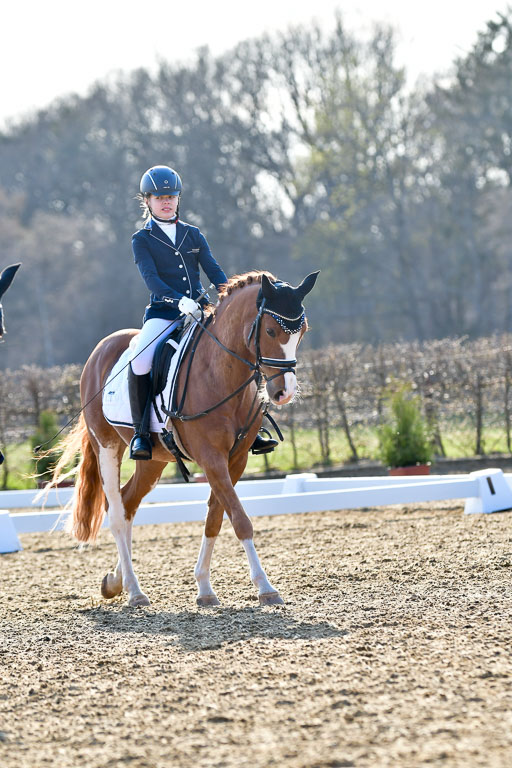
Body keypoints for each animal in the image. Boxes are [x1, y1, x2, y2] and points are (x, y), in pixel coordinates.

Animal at [50, 270, 318, 608]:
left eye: (302, 333)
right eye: (270, 330)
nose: (285, 393)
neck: (219, 371)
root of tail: (100, 350)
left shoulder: (236, 459)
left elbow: (216, 518)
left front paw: (204, 588)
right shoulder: (211, 458)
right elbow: (240, 519)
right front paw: (265, 587)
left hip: (153, 461)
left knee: (128, 502)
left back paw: (115, 582)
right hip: (107, 446)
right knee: (116, 512)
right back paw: (134, 591)